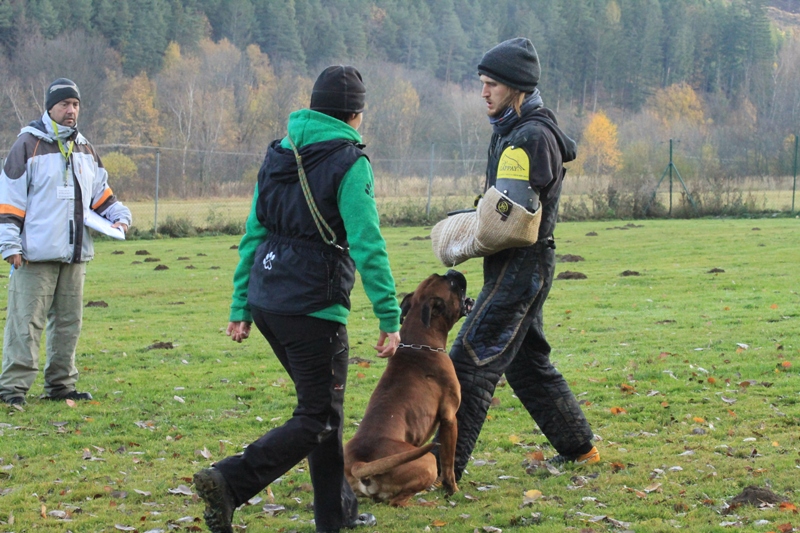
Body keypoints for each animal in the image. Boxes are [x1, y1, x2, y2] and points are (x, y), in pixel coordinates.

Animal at [344, 270, 473, 507]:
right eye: (452, 283)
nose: (453, 271)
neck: (420, 344)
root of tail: (361, 462)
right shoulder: (450, 418)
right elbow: (448, 464)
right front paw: (452, 490)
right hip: (427, 459)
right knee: (398, 502)